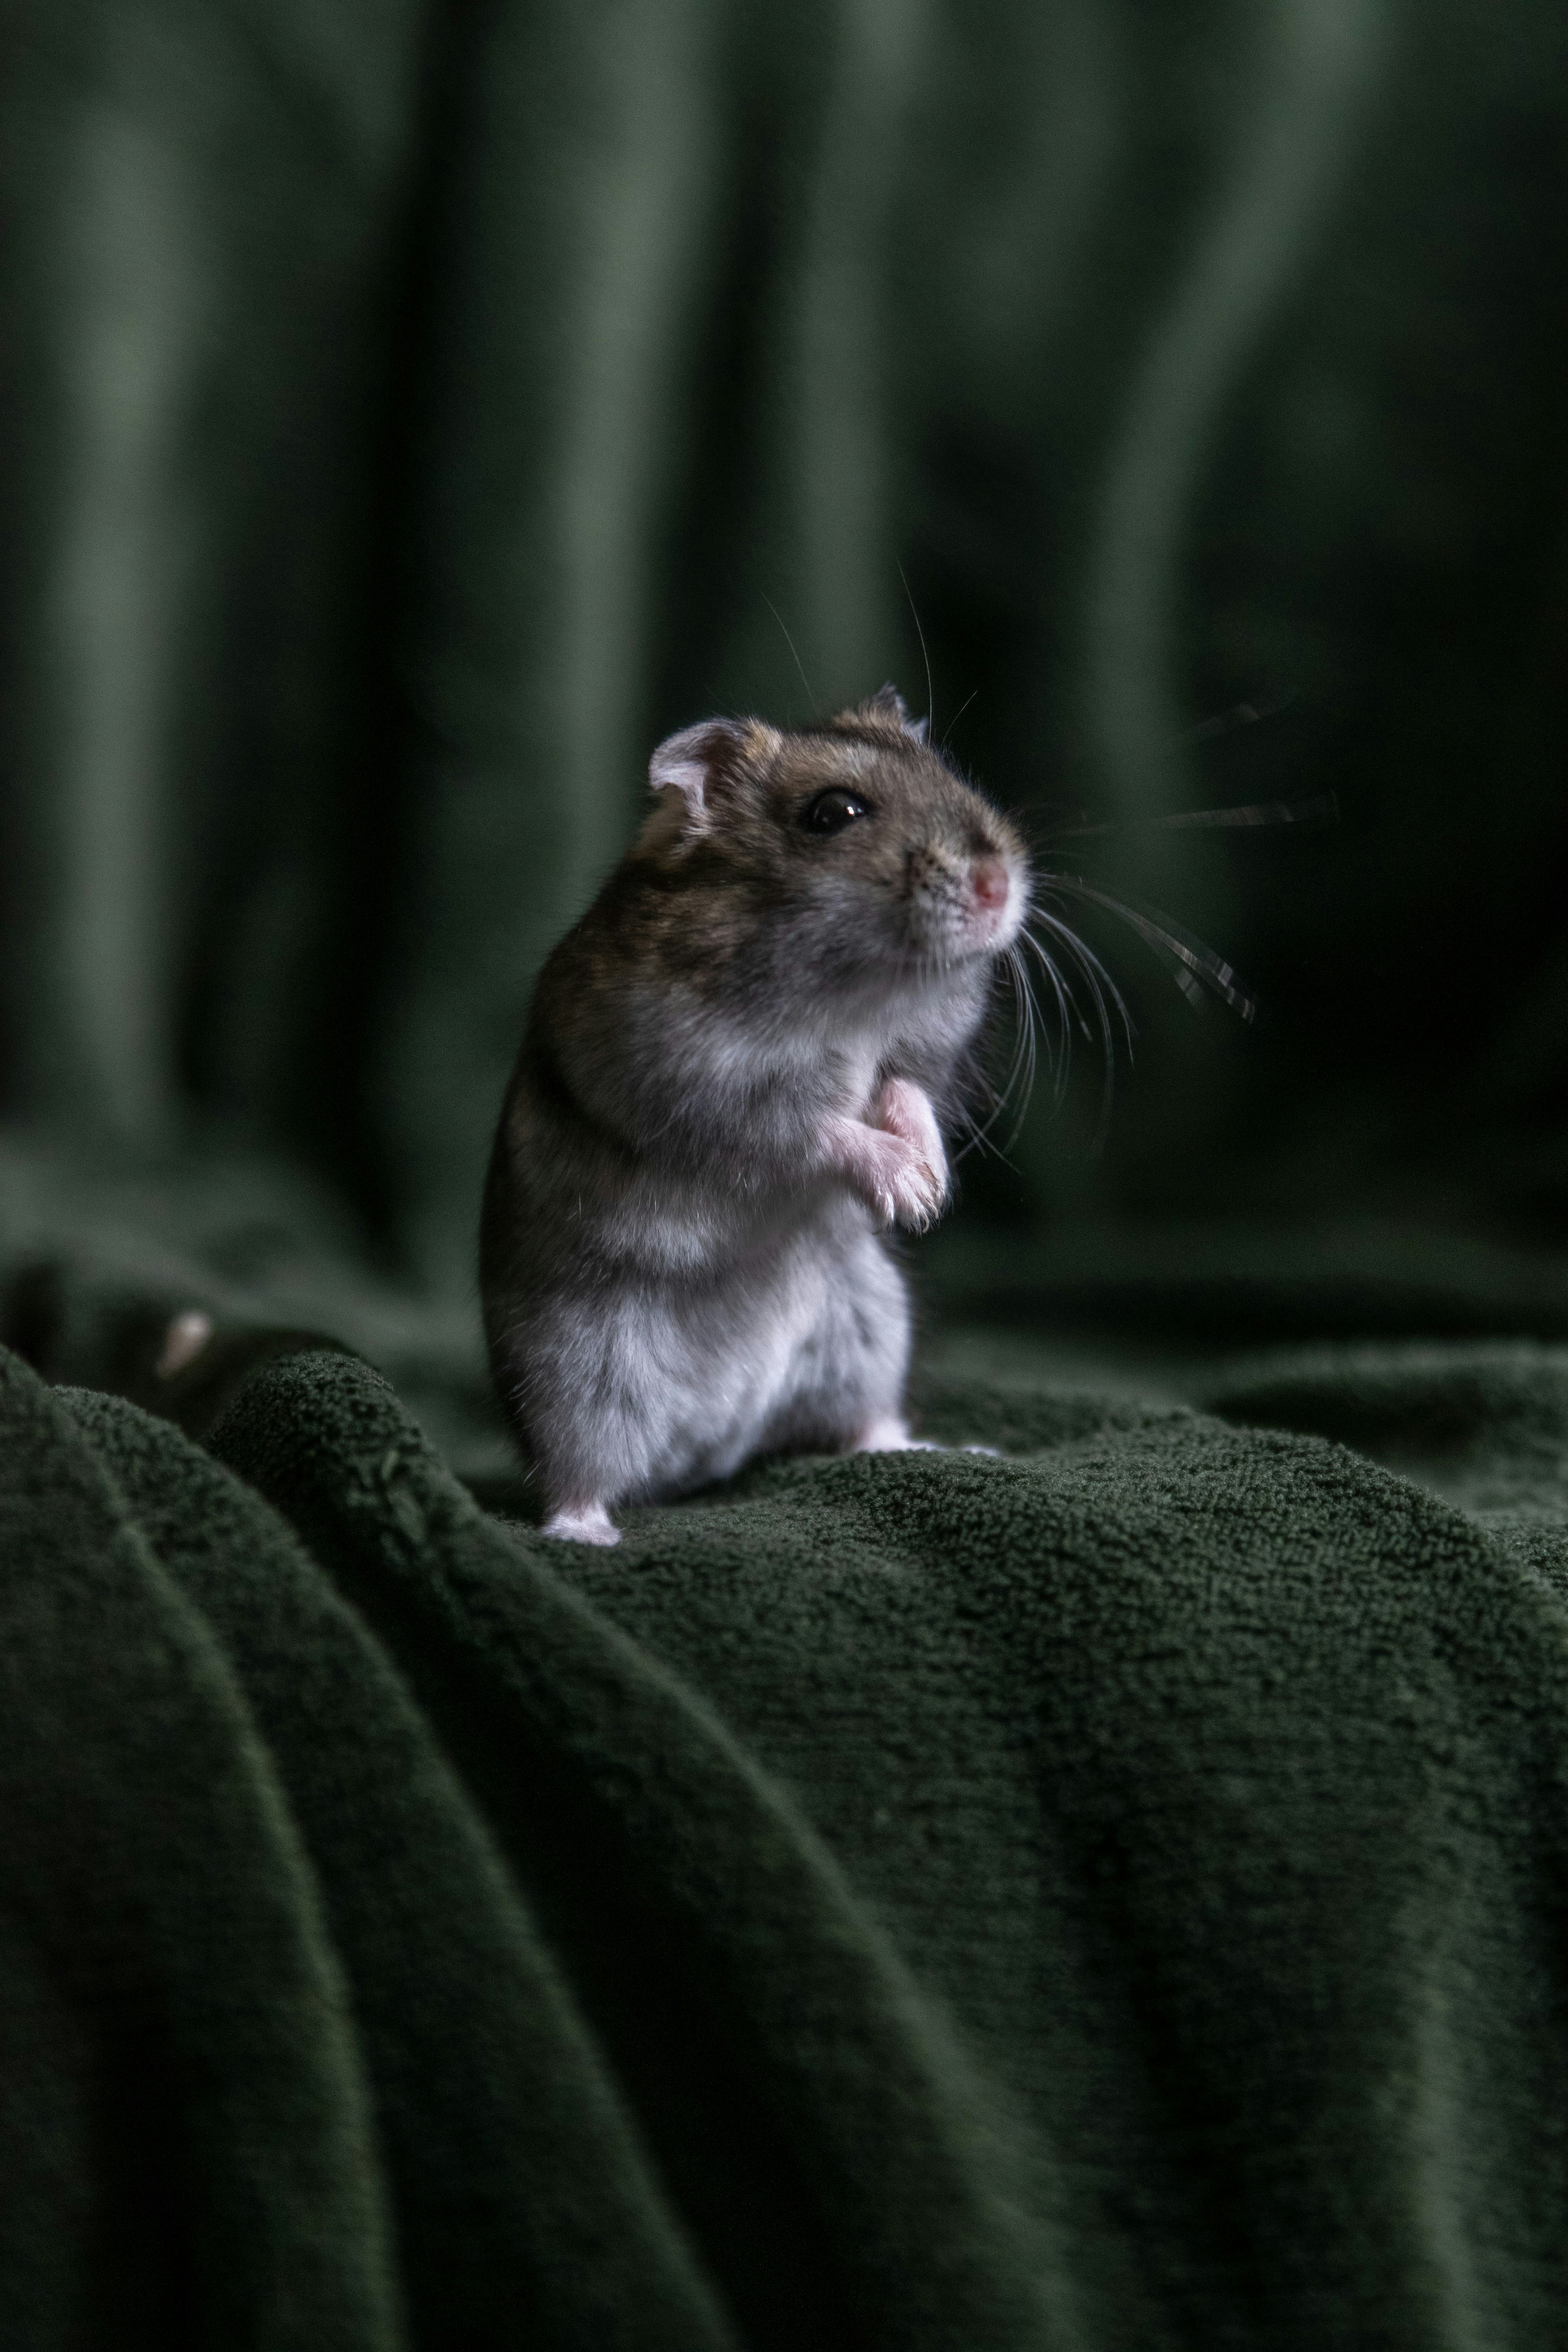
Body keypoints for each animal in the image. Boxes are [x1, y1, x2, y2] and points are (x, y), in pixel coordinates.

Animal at [479, 686, 1028, 1544]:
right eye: (832, 813)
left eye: (948, 774)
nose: (1000, 888)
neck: (858, 996)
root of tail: (713, 1450)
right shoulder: (703, 1089)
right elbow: (816, 1129)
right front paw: (909, 1190)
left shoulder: (913, 1056)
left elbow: (904, 1093)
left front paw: (931, 1190)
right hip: (572, 1379)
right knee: (575, 1476)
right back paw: (587, 1535)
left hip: (870, 1326)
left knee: (867, 1425)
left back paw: (952, 1451)